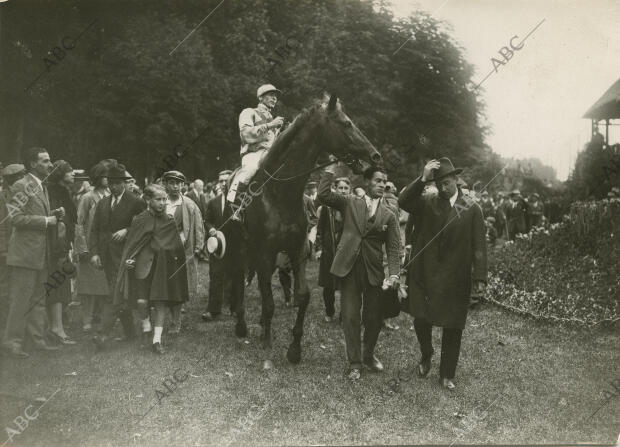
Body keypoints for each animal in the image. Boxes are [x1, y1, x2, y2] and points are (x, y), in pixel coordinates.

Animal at [229, 93, 380, 364]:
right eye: (346, 123)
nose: (375, 156)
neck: (279, 194)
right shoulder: (265, 252)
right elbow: (269, 300)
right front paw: (267, 340)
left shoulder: (297, 249)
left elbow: (303, 295)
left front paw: (295, 348)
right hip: (240, 247)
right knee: (238, 278)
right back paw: (242, 325)